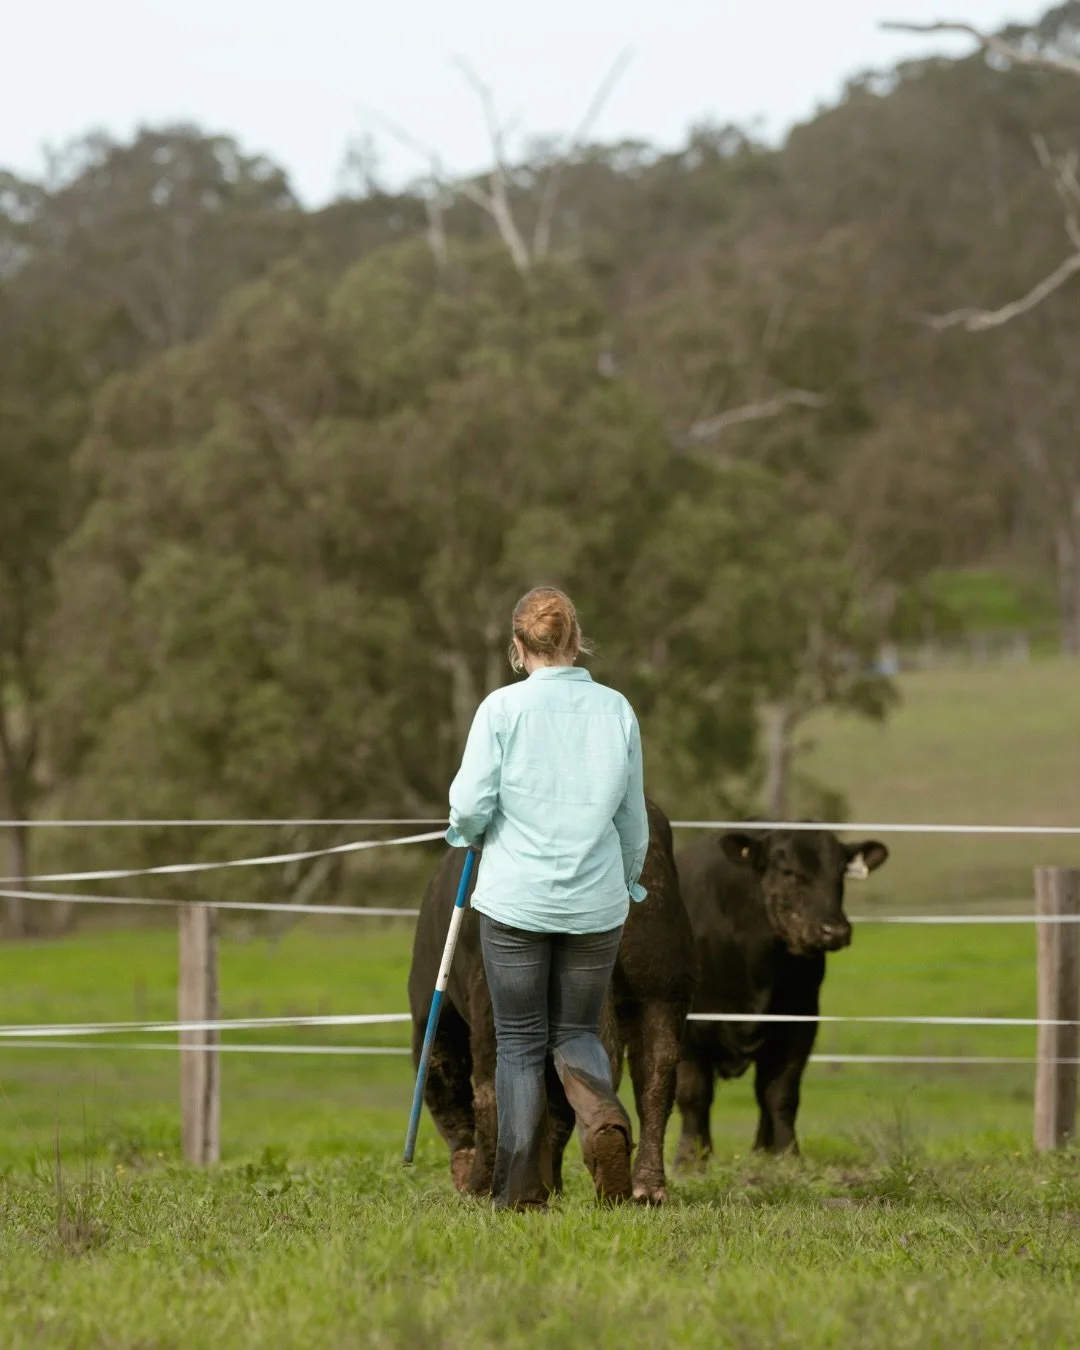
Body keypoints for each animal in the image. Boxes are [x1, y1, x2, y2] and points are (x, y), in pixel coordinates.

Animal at [674, 826, 888, 1163]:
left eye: (840, 872)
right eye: (788, 871)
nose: (834, 930)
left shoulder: (799, 1022)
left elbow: (779, 1093)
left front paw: (783, 1155)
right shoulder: (687, 1026)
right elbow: (693, 1093)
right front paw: (691, 1159)